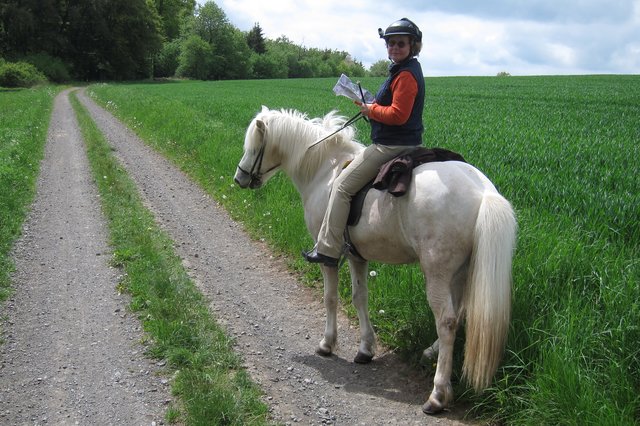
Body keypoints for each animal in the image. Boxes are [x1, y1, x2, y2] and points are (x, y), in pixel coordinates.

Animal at [232, 106, 516, 416]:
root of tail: (483, 192)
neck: (324, 170)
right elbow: (360, 298)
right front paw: (365, 349)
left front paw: (327, 343)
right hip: (460, 271)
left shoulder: (329, 253)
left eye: (254, 146)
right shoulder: (357, 256)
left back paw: (438, 394)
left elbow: (330, 298)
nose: (239, 179)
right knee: (459, 313)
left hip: (437, 273)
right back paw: (431, 352)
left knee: (447, 321)